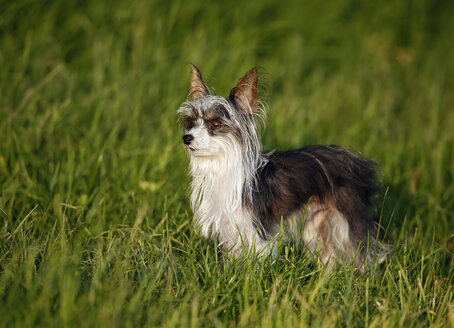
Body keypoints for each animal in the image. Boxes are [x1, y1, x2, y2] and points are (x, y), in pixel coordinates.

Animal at [177, 65, 386, 270]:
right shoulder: (231, 228)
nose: (187, 138)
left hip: (347, 217)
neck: (223, 167)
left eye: (216, 123)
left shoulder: (258, 231)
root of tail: (356, 160)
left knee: (362, 251)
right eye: (191, 122)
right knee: (328, 253)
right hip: (317, 220)